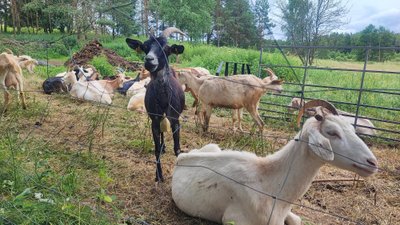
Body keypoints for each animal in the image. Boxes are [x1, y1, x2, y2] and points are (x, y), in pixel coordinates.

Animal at [126, 27, 187, 182]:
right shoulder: (154, 119)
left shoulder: (175, 119)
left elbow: (177, 148)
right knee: (161, 133)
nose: (149, 60)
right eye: (145, 47)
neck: (163, 97)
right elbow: (156, 148)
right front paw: (158, 175)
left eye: (166, 48)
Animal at [172, 100, 378, 225]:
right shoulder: (235, 219)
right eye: (332, 132)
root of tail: (182, 157)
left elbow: (297, 220)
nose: (372, 162)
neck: (272, 184)